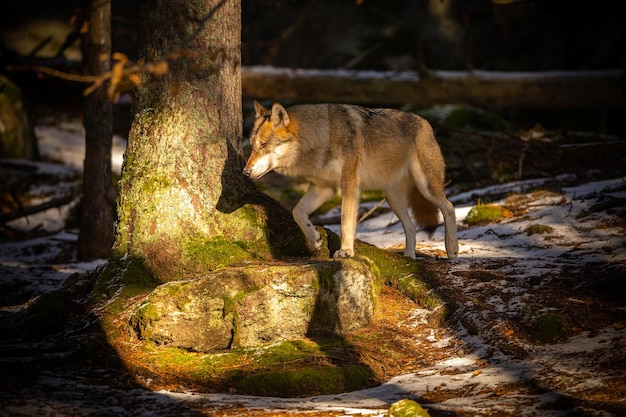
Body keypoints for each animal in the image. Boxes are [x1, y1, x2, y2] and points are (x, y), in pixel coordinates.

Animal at [241, 99, 456, 258]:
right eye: (252, 145)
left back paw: (452, 249)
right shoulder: (325, 188)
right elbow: (297, 212)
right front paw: (315, 238)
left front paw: (345, 251)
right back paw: (409, 258)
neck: (321, 137)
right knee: (411, 228)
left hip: (426, 187)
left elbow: (345, 220)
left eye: (263, 145)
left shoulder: (349, 184)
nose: (245, 172)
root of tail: (427, 123)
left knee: (449, 207)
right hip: (393, 199)